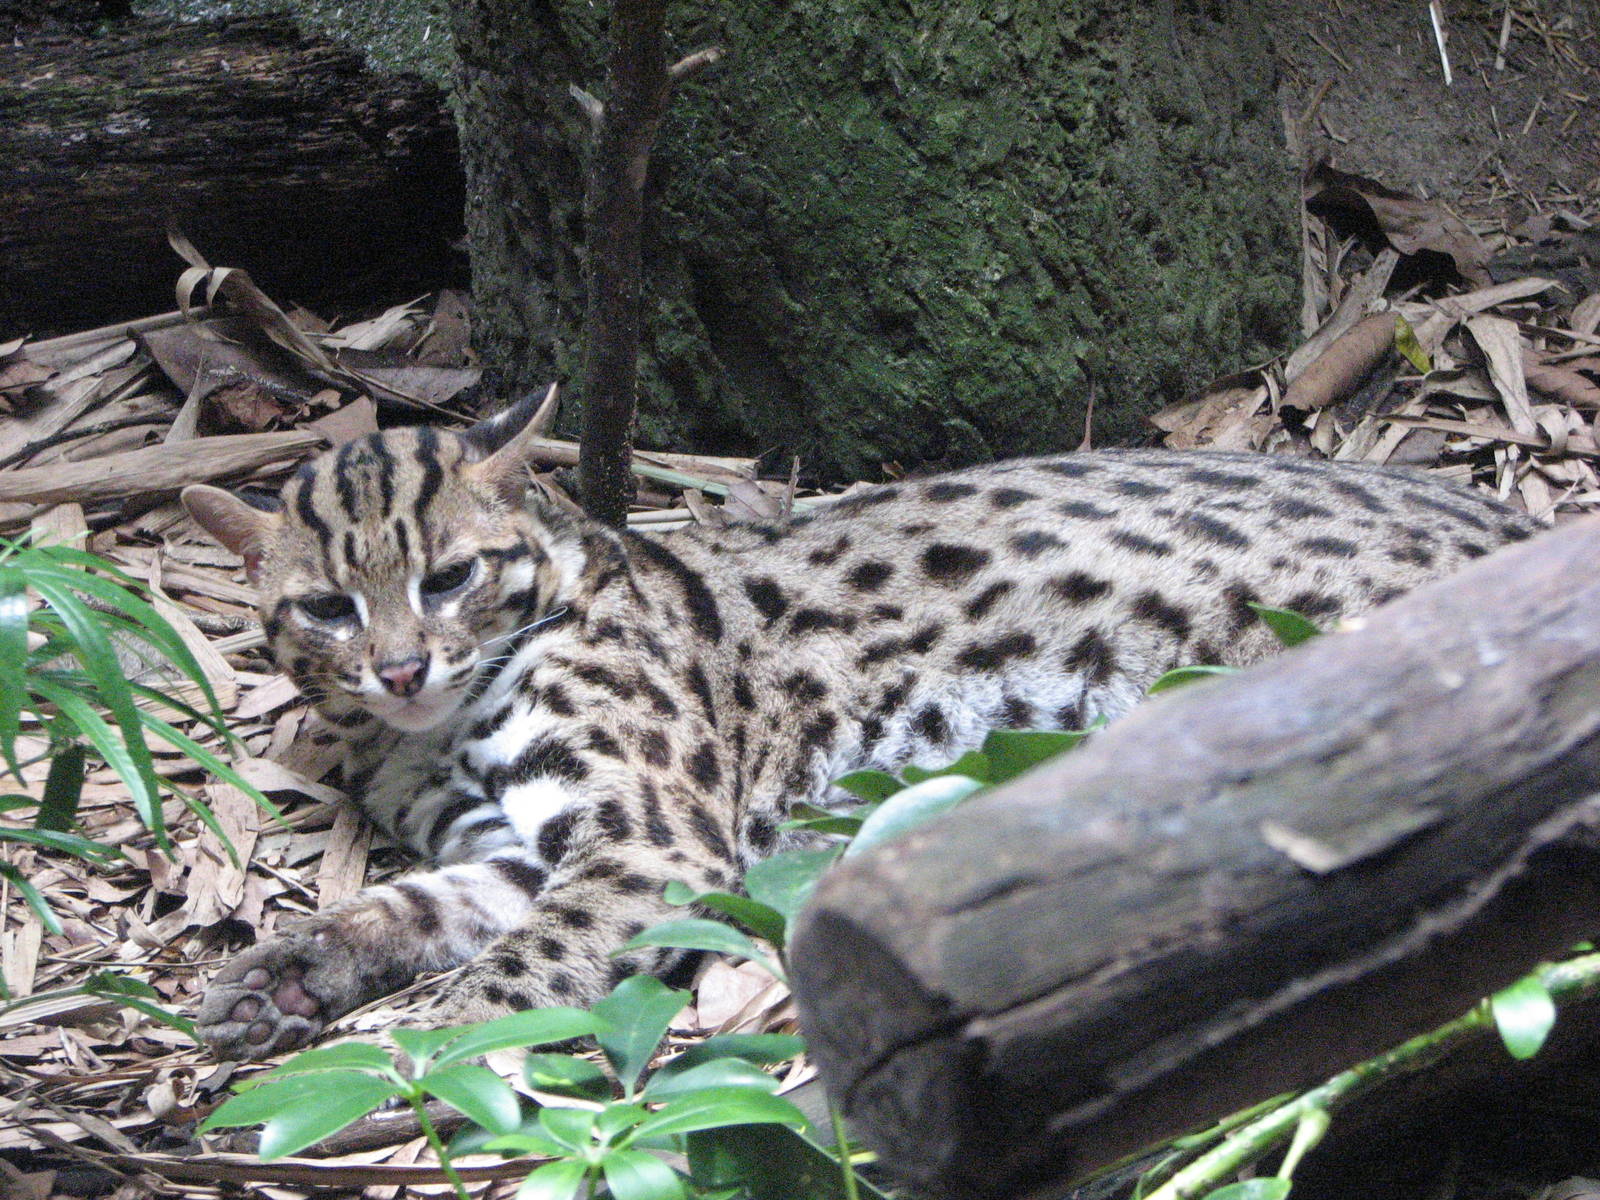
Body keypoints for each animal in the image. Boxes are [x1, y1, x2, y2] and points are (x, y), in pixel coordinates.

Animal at [181, 392, 1541, 1059]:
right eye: (328, 607)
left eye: (452, 578)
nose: (402, 667)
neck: (433, 729)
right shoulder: (513, 853)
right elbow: (415, 909)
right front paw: (291, 974)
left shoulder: (655, 842)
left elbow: (522, 970)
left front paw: (416, 1057)